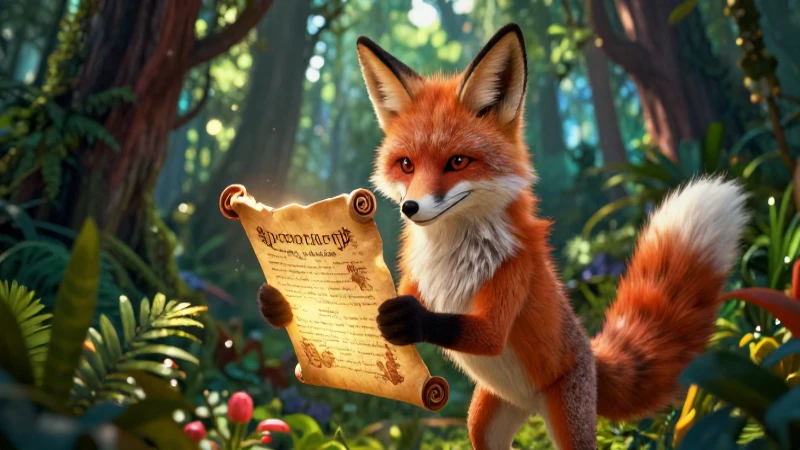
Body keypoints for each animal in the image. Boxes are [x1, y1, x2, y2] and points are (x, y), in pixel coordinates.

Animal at [257, 23, 749, 450]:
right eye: (406, 165)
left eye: (457, 162)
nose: (410, 207)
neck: (451, 258)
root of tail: (589, 352)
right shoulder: (417, 281)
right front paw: (279, 305)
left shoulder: (513, 276)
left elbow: (483, 333)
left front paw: (407, 321)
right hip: (485, 422)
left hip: (568, 422)